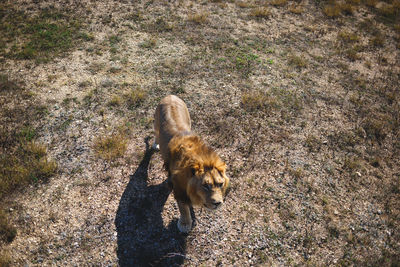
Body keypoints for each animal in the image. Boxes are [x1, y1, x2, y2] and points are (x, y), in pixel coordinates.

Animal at [153, 95, 230, 233]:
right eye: (205, 185)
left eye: (220, 184)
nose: (217, 203)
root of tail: (170, 95)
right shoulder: (179, 189)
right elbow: (184, 209)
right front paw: (185, 224)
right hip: (156, 123)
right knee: (156, 133)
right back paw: (156, 144)